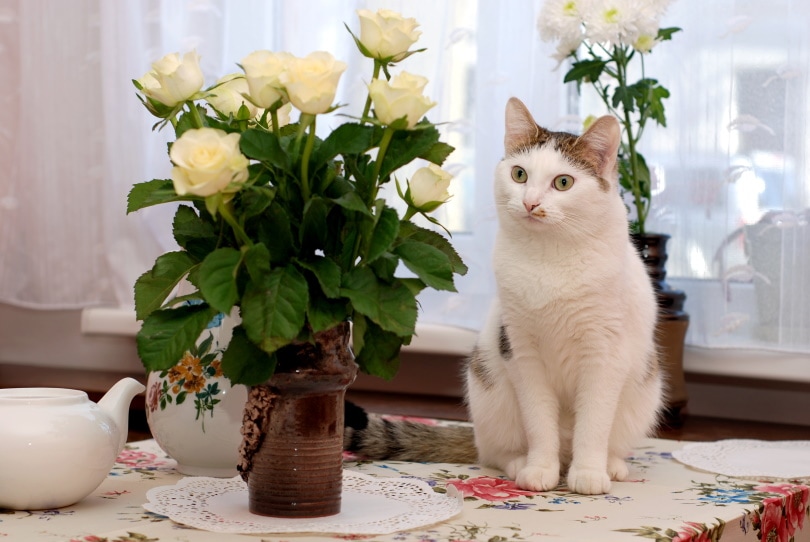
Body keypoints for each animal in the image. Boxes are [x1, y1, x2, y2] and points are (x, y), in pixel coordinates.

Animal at [342, 96, 664, 498]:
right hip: (489, 387)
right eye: (519, 175)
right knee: (495, 452)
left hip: (643, 389)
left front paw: (588, 473)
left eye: (563, 182)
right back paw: (521, 464)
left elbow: (593, 425)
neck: (549, 259)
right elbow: (539, 423)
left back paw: (610, 465)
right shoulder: (523, 352)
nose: (530, 203)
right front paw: (539, 469)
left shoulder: (604, 355)